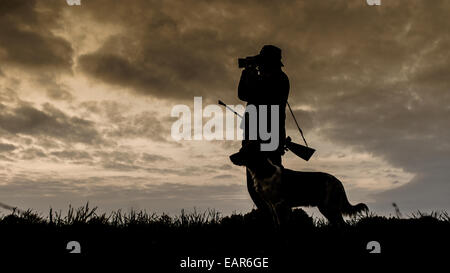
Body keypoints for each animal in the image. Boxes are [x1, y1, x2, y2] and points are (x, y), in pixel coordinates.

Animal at [230, 141, 368, 226]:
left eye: (243, 151)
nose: (230, 157)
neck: (264, 171)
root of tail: (338, 182)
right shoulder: (271, 205)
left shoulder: (279, 204)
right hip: (326, 207)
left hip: (329, 206)